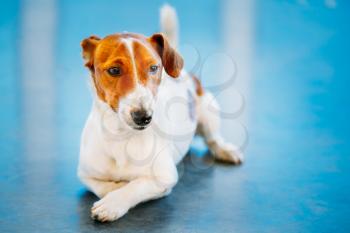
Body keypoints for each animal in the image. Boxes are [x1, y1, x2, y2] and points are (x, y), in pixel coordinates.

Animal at [77, 4, 242, 222]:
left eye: (154, 68)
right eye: (113, 70)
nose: (144, 117)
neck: (122, 136)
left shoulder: (164, 177)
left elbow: (136, 185)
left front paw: (113, 202)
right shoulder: (85, 175)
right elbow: (104, 187)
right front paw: (115, 189)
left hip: (209, 112)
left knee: (213, 139)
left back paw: (225, 150)